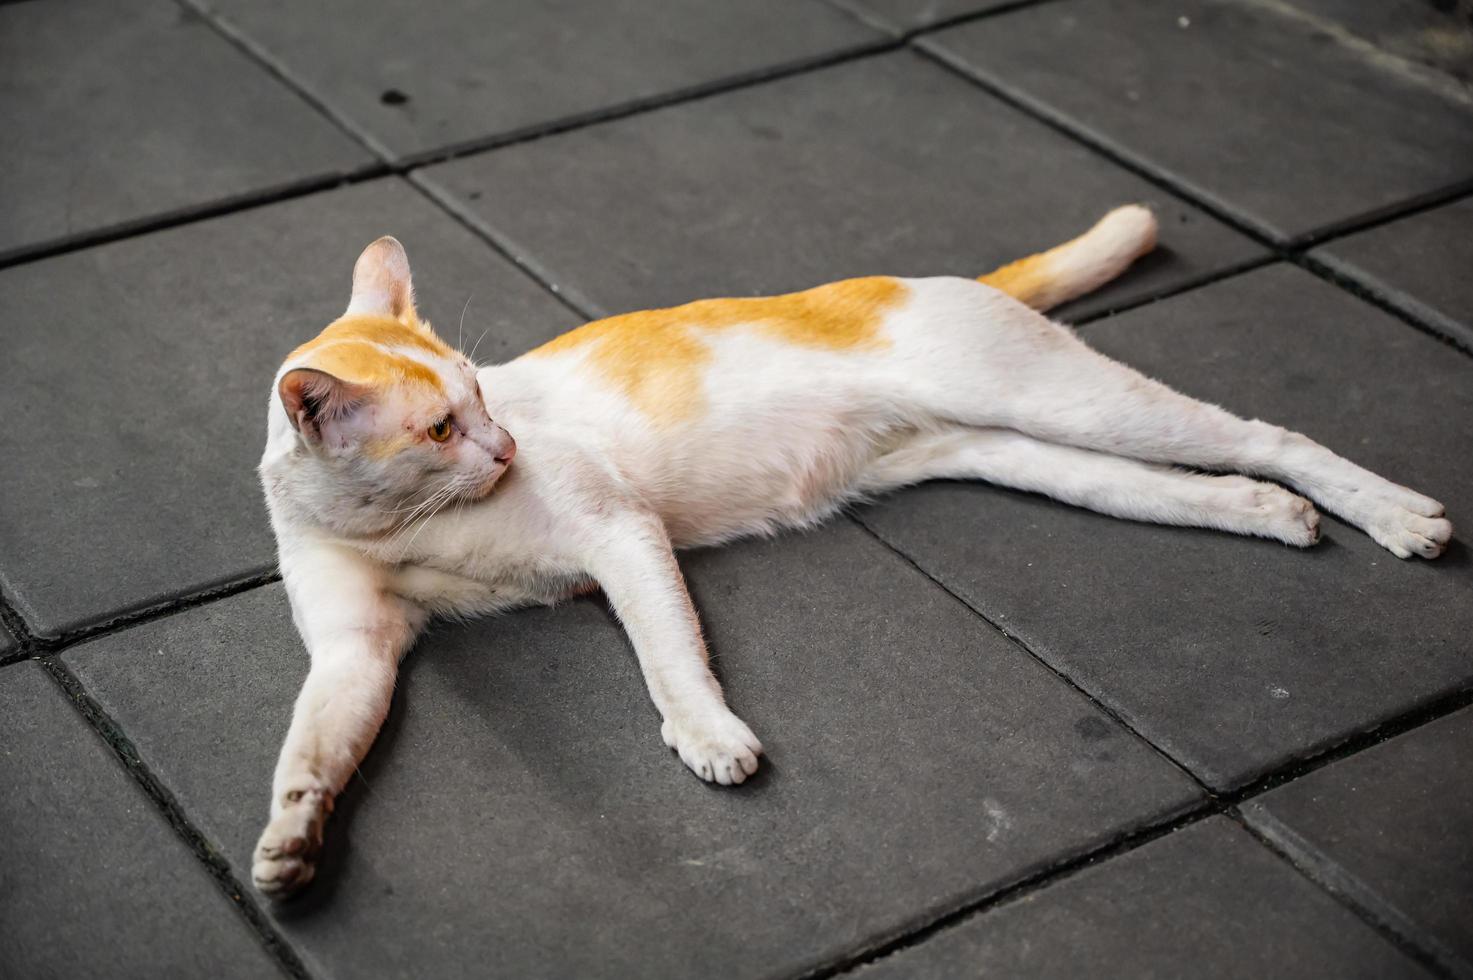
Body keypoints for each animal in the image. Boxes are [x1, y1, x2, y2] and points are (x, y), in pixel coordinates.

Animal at [250, 204, 1449, 896]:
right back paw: (1264, 514)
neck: (410, 525)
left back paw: (1394, 514)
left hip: (1072, 402)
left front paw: (708, 735)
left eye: (482, 398)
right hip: (1035, 455)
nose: (502, 446)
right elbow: (313, 744)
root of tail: (940, 282)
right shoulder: (356, 649)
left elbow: (668, 657)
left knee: (1269, 434)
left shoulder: (619, 533)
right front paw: (290, 840)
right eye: (438, 430)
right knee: (1197, 483)